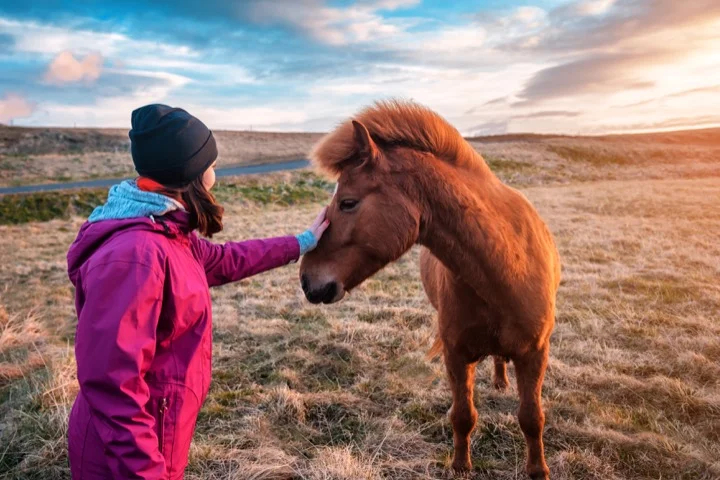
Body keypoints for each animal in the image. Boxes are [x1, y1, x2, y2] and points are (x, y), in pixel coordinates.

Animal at [299, 100, 561, 479]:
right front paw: (461, 465)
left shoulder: (535, 353)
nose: (307, 280)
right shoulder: (455, 354)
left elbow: (531, 418)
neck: (507, 267)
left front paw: (538, 470)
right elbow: (463, 416)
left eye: (348, 202)